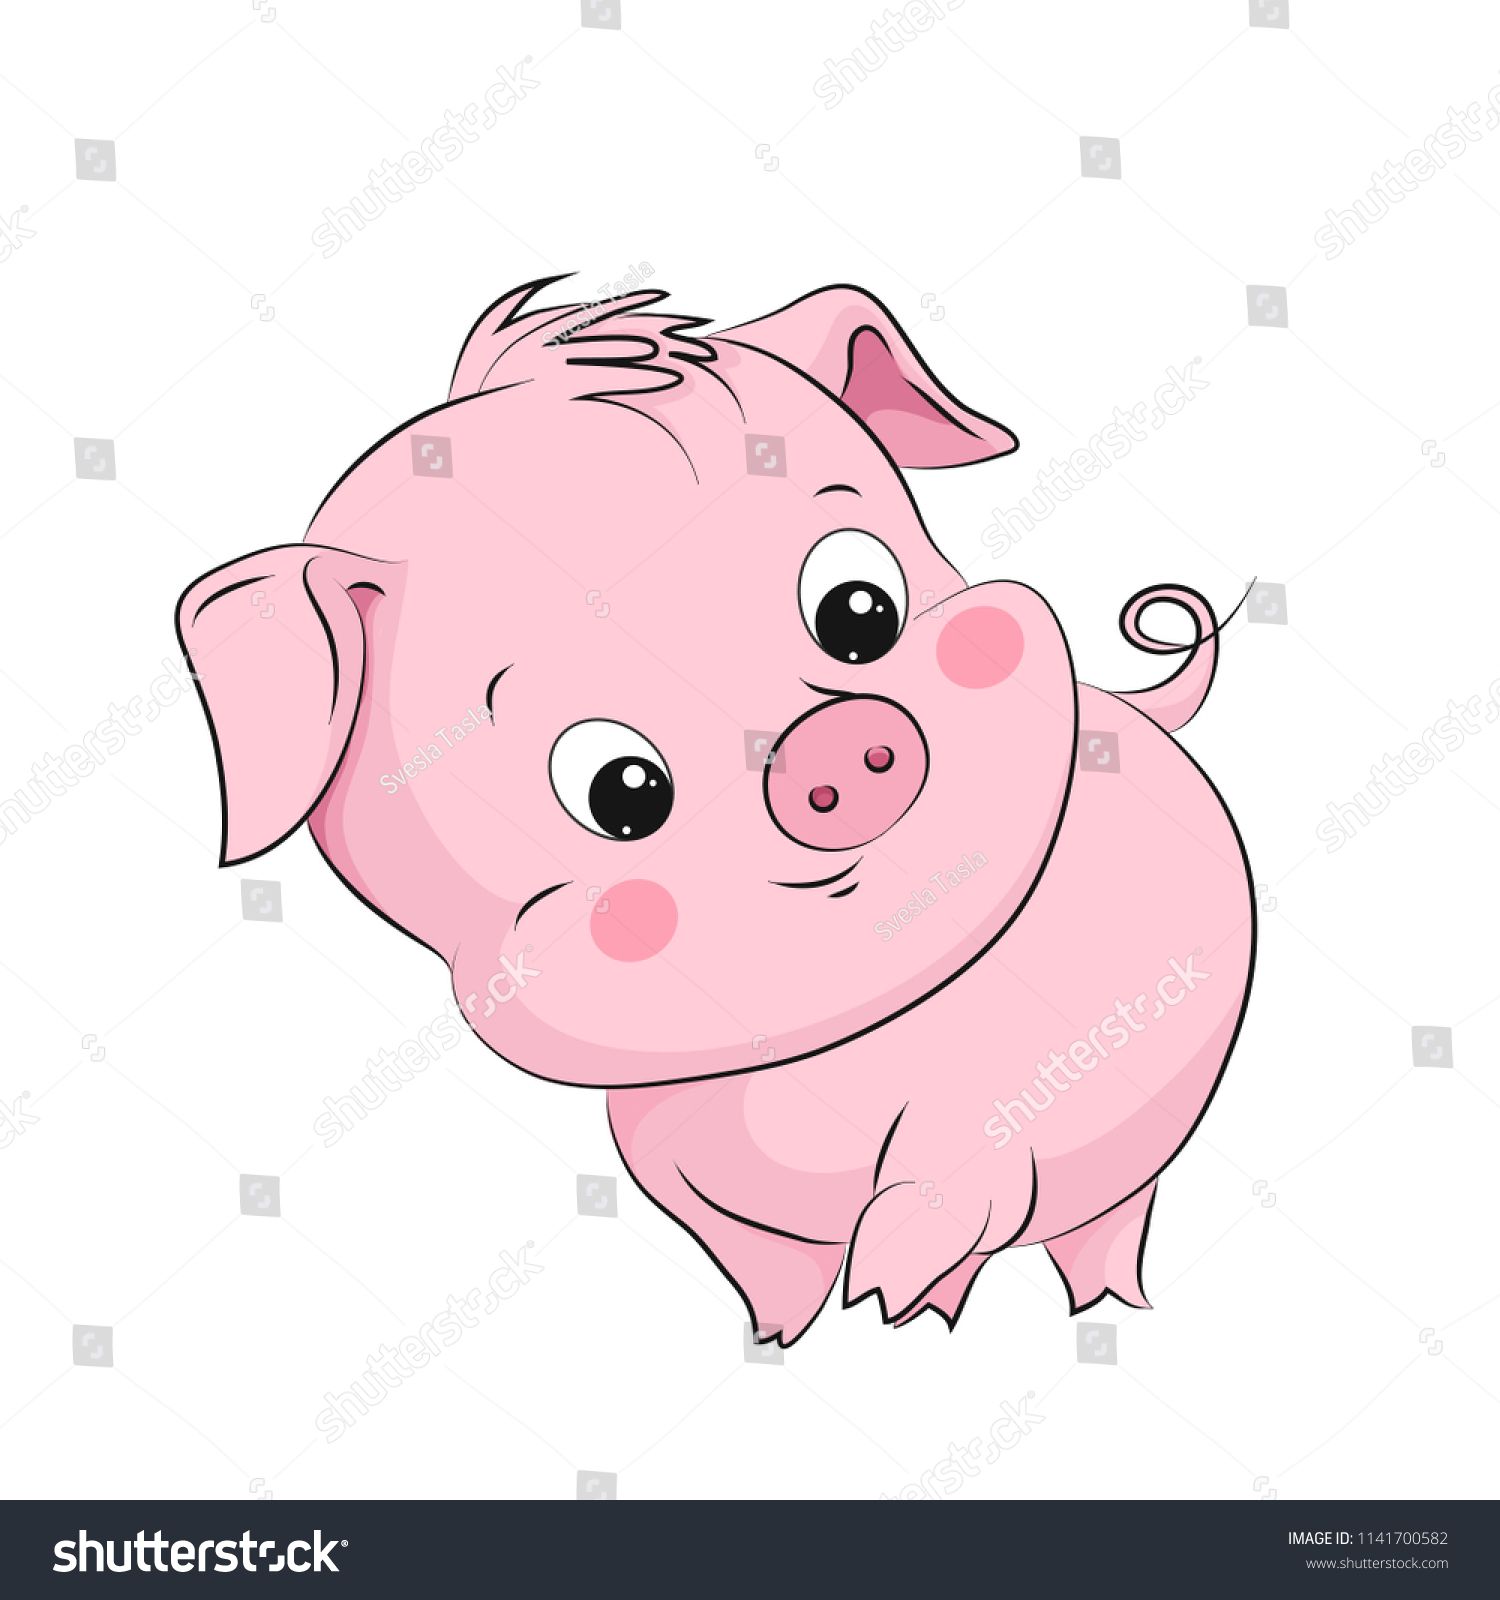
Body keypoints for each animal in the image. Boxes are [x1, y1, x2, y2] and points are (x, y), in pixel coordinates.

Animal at [176, 276, 1253, 1345]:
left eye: (861, 610)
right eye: (620, 789)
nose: (836, 743)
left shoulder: (1000, 1107)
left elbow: (958, 1175)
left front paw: (885, 1298)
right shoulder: (670, 1164)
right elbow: (758, 1260)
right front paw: (783, 1336)